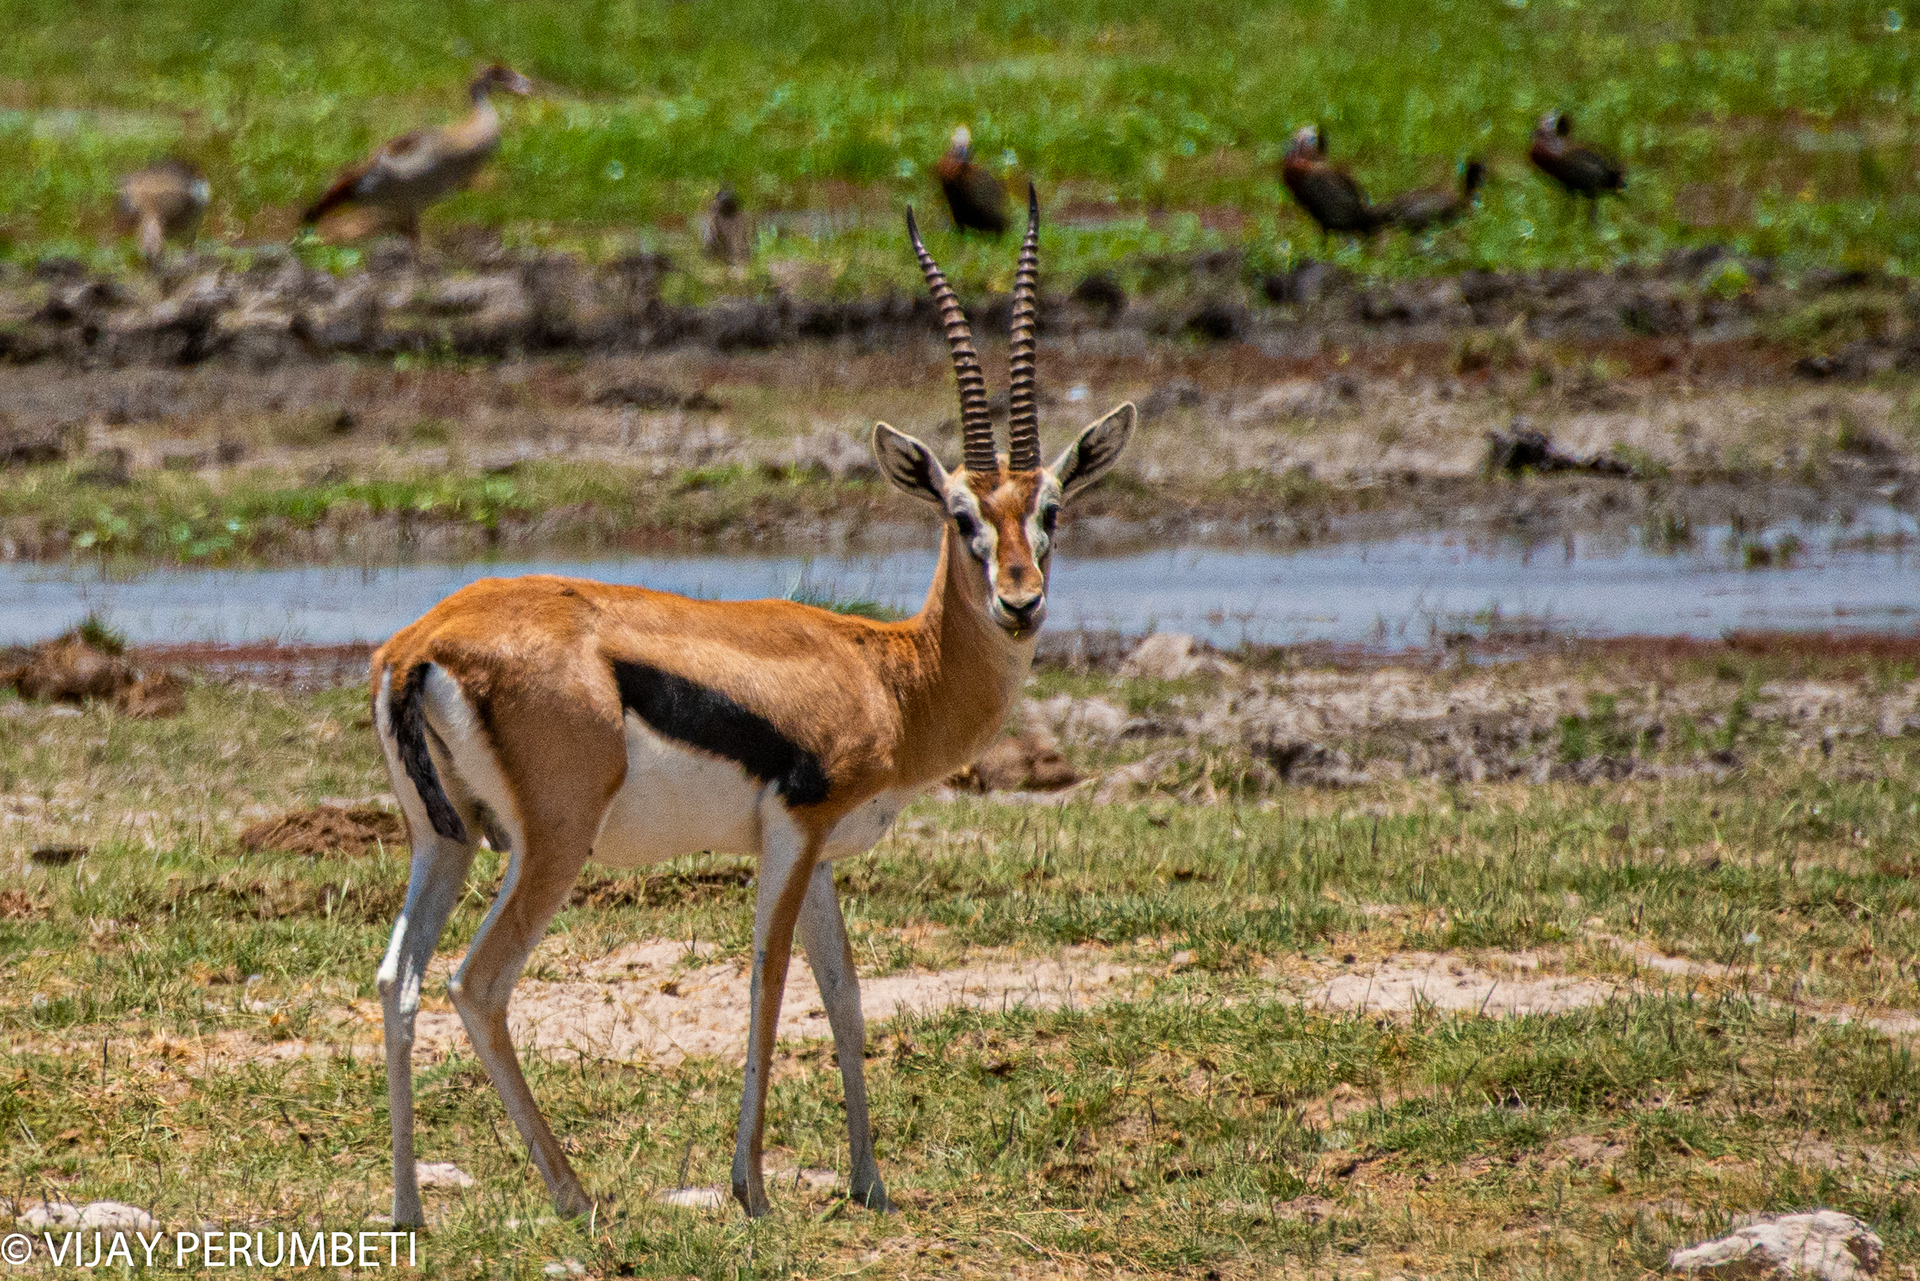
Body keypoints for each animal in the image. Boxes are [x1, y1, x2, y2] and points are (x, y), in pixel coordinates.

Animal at [368, 183, 1132, 1224]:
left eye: (1049, 509)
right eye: (961, 514)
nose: (1021, 601)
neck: (890, 674)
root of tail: (423, 642)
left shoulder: (825, 856)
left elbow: (845, 993)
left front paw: (869, 1182)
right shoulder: (793, 833)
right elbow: (772, 983)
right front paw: (753, 1188)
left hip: (441, 841)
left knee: (397, 980)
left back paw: (410, 1209)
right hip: (550, 845)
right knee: (477, 983)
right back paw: (574, 1194)